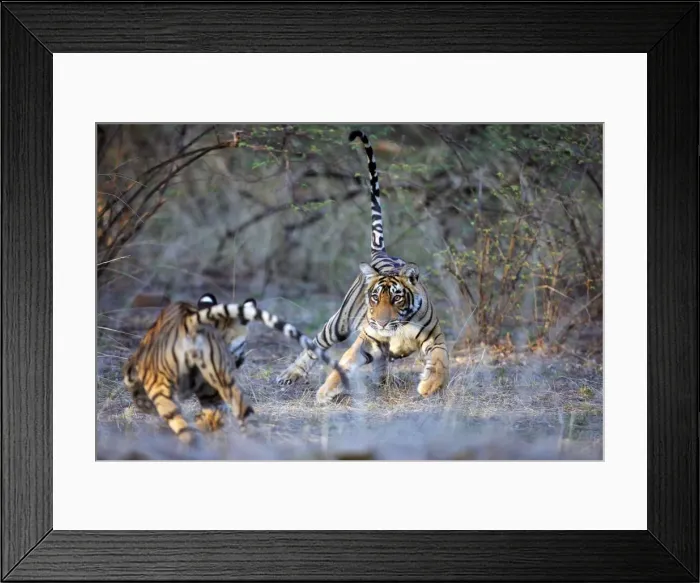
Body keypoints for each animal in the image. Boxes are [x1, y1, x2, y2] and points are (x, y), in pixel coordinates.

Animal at [277, 129, 449, 403]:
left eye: (397, 298)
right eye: (375, 298)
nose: (381, 323)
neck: (398, 328)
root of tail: (382, 253)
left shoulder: (435, 338)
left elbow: (440, 362)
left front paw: (428, 386)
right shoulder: (366, 339)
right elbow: (344, 363)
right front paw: (325, 392)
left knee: (382, 361)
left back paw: (383, 380)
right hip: (338, 324)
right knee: (314, 345)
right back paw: (289, 375)